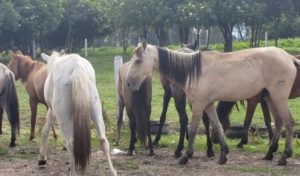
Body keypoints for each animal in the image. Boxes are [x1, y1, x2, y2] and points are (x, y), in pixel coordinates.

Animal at [126, 40, 298, 166]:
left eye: (138, 60)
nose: (128, 83)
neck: (192, 71)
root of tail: (289, 57)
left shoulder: (198, 105)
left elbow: (193, 129)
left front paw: (186, 156)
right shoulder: (208, 105)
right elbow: (217, 126)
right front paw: (223, 154)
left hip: (278, 97)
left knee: (289, 122)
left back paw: (284, 157)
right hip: (271, 98)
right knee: (279, 122)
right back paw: (270, 155)